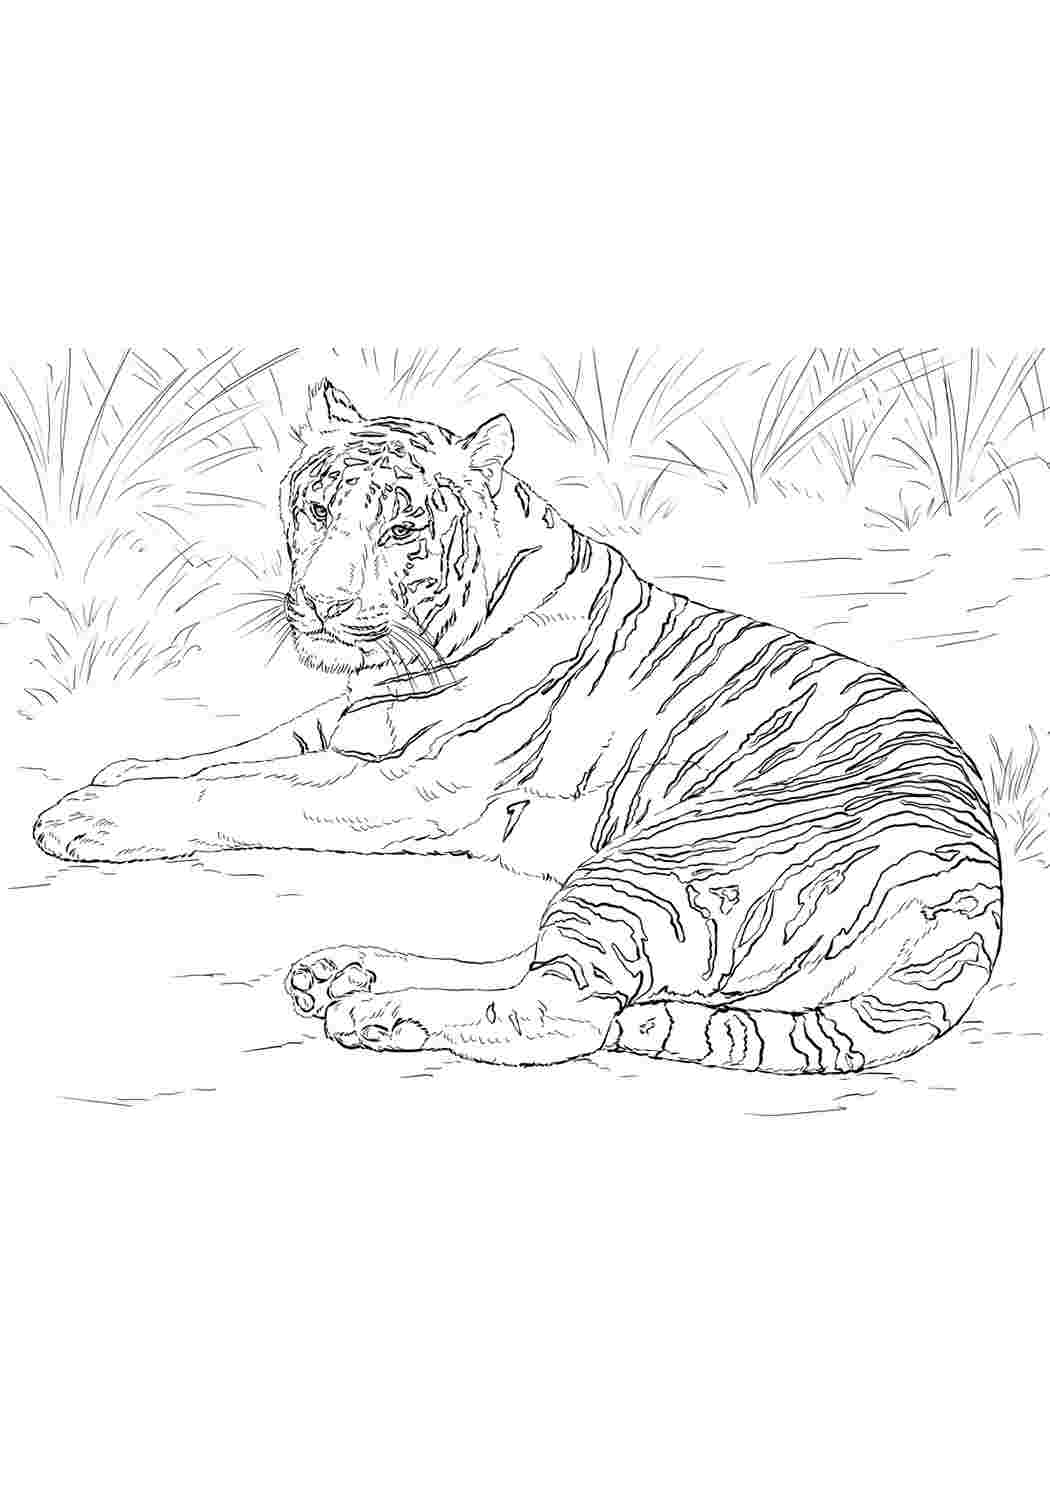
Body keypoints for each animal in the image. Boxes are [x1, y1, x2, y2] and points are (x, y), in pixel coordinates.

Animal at [33, 378, 1004, 1072]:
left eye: (403, 529)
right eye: (316, 510)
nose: (323, 603)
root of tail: (974, 903)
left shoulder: (405, 788)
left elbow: (245, 790)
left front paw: (90, 816)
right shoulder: (341, 726)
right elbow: (234, 752)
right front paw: (114, 777)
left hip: (652, 866)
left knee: (563, 1012)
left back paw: (378, 1010)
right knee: (547, 974)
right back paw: (348, 971)